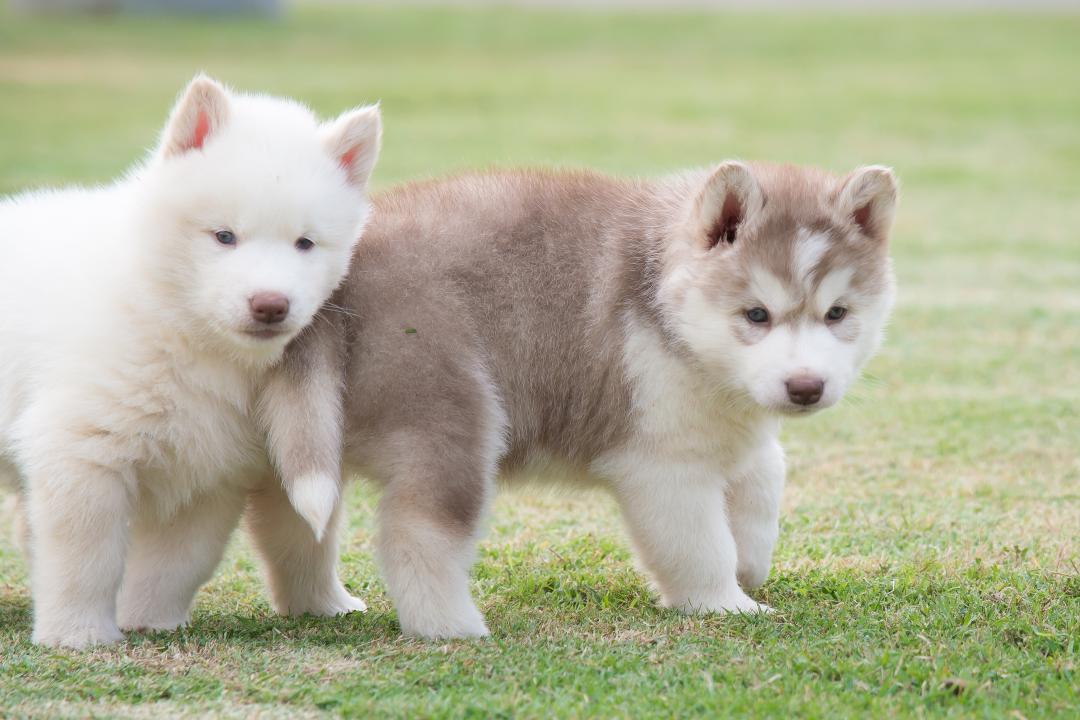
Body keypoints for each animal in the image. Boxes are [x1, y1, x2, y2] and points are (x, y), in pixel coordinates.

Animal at [0, 74, 380, 647]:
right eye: (224, 236)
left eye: (305, 243)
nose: (270, 304)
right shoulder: (80, 450)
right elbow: (85, 558)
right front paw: (78, 633)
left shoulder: (209, 467)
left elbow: (178, 561)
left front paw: (148, 618)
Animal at [265, 160, 898, 639]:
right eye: (757, 315)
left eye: (837, 313)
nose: (806, 388)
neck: (661, 300)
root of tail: (337, 285)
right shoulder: (662, 466)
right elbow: (699, 546)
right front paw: (726, 604)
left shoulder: (730, 429)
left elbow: (766, 474)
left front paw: (752, 559)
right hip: (451, 417)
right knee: (415, 534)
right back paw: (453, 627)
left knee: (290, 528)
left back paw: (323, 605)